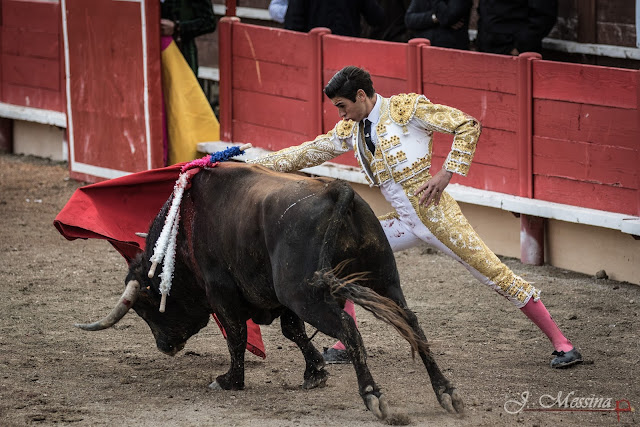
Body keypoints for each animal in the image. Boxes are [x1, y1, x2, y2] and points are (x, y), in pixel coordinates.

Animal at [75, 162, 463, 421]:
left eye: (146, 304)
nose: (165, 347)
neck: (184, 227)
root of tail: (338, 191)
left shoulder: (221, 291)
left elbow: (236, 335)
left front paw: (230, 381)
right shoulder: (278, 298)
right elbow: (293, 331)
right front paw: (315, 374)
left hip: (305, 293)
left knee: (349, 329)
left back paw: (373, 397)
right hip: (383, 280)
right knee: (412, 323)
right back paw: (446, 393)